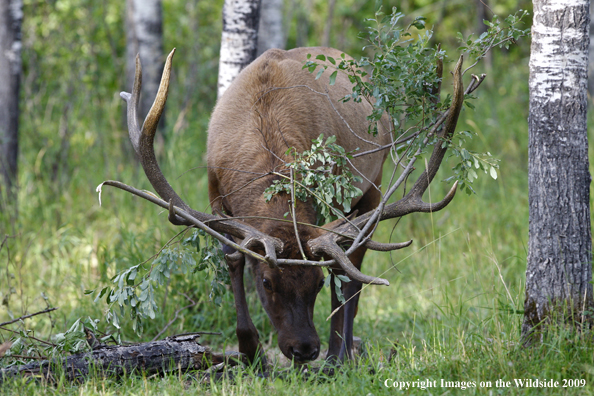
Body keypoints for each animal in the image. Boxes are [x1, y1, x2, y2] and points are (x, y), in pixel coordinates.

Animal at [102, 44, 480, 364]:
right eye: (267, 282)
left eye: (317, 283)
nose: (304, 349)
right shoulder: (214, 192)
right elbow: (233, 259)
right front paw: (250, 351)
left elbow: (338, 270)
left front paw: (325, 353)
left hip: (372, 186)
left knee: (352, 270)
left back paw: (339, 354)